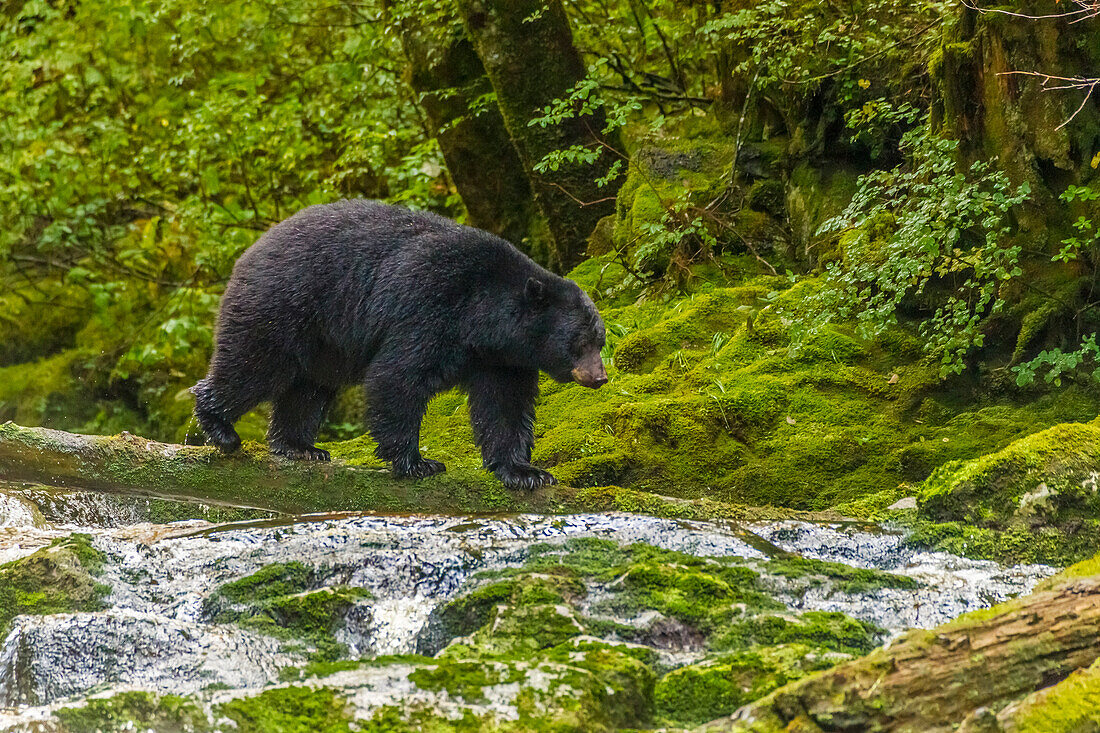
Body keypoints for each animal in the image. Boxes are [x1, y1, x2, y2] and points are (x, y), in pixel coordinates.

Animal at [189, 197, 602, 488]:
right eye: (580, 341)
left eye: (600, 340)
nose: (600, 378)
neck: (484, 318)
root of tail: (252, 249)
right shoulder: (431, 305)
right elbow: (399, 375)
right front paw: (417, 462)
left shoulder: (504, 358)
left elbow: (506, 405)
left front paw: (526, 471)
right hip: (284, 304)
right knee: (253, 363)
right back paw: (220, 427)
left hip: (324, 343)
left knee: (308, 389)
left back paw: (301, 447)